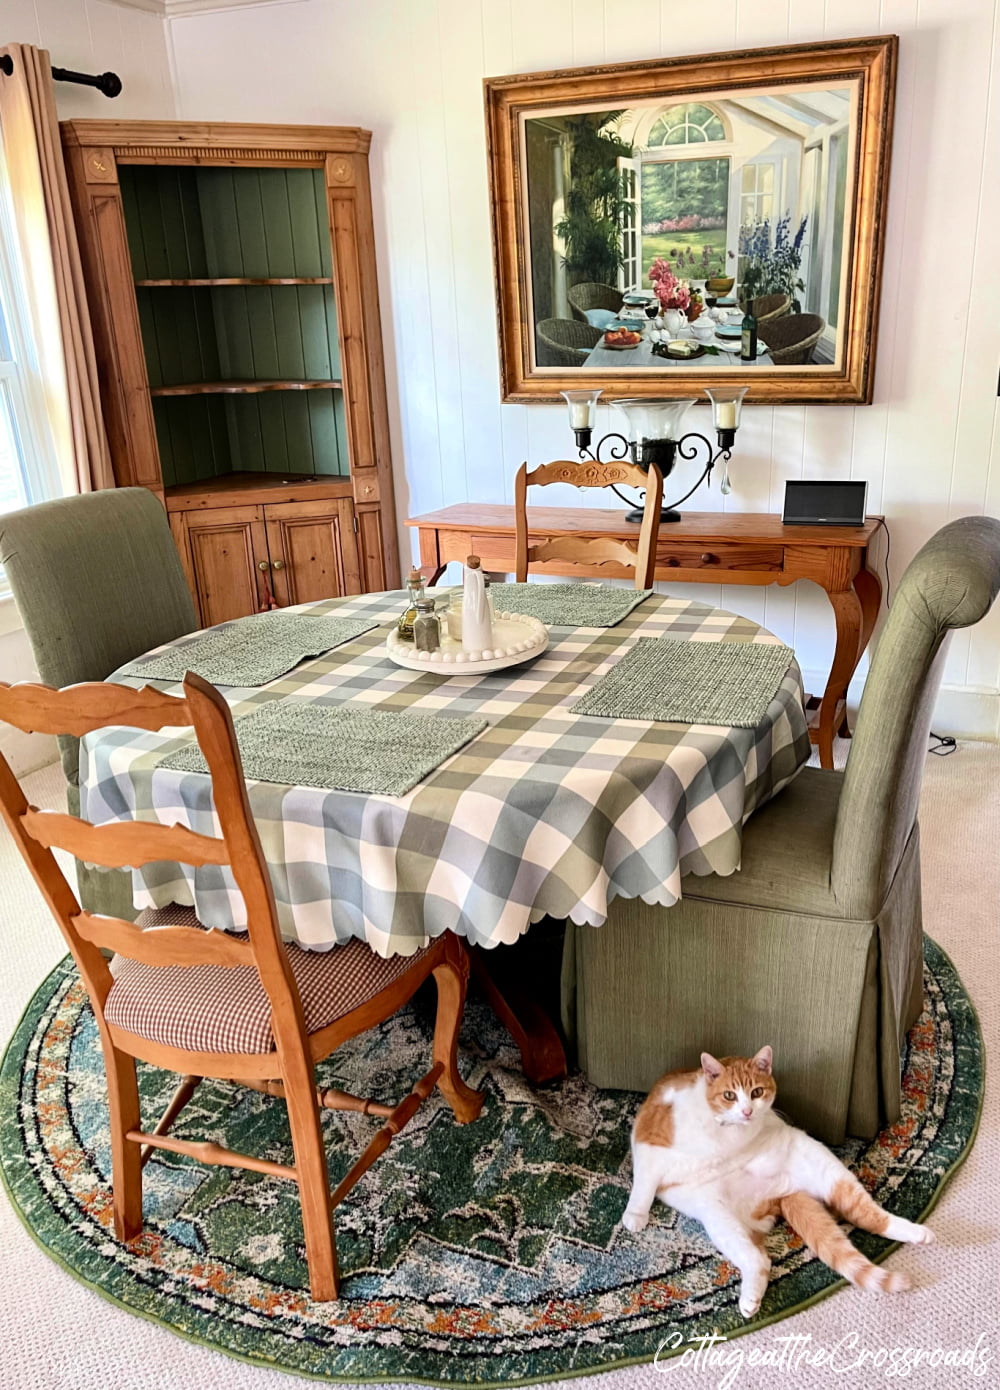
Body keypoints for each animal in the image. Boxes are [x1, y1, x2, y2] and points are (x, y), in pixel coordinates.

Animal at [623, 1045, 934, 1317]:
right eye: (729, 1095)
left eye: (757, 1092)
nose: (747, 1111)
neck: (722, 1130)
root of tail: (782, 1193)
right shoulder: (649, 1143)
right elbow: (644, 1185)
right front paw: (636, 1215)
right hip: (718, 1218)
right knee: (759, 1261)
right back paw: (750, 1300)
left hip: (828, 1173)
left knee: (871, 1216)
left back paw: (919, 1233)